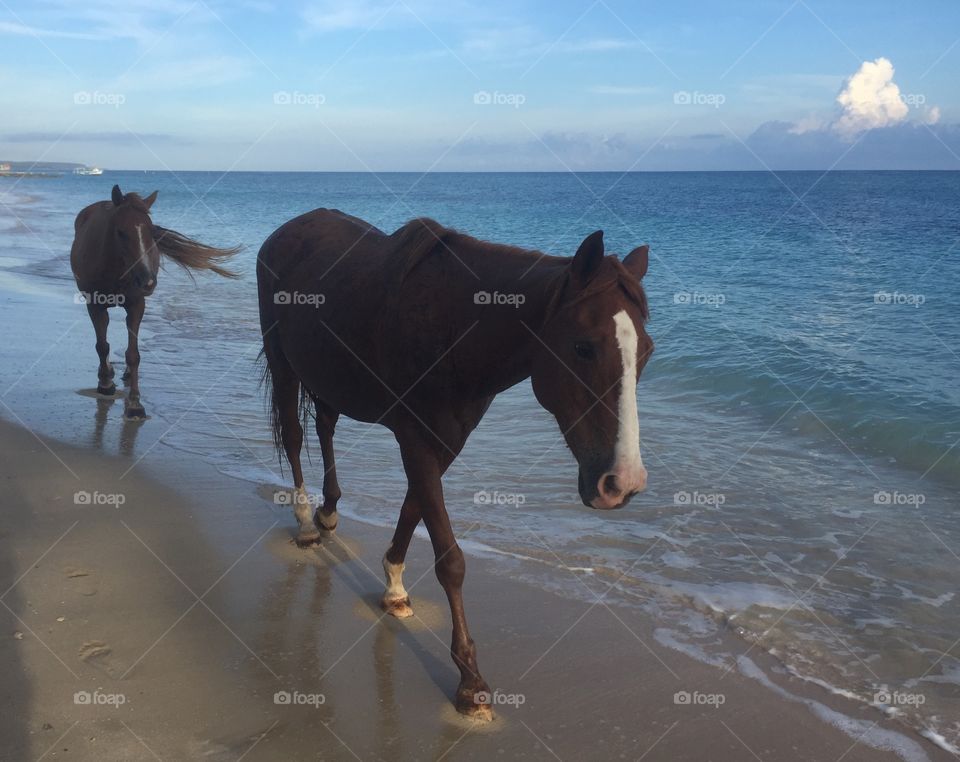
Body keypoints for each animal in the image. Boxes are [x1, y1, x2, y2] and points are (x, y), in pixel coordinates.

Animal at [71, 185, 238, 419]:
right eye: (120, 232)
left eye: (151, 232)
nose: (147, 281)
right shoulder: (94, 305)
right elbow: (102, 345)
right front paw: (105, 385)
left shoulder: (136, 305)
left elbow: (133, 354)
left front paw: (134, 404)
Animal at [256, 210, 653, 720]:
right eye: (584, 347)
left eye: (647, 351)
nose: (622, 483)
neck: (455, 326)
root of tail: (288, 230)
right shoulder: (416, 439)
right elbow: (450, 557)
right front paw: (470, 679)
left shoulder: (446, 441)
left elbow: (414, 509)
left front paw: (394, 587)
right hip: (283, 361)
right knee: (293, 434)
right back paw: (307, 522)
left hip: (326, 374)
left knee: (325, 425)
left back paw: (329, 511)